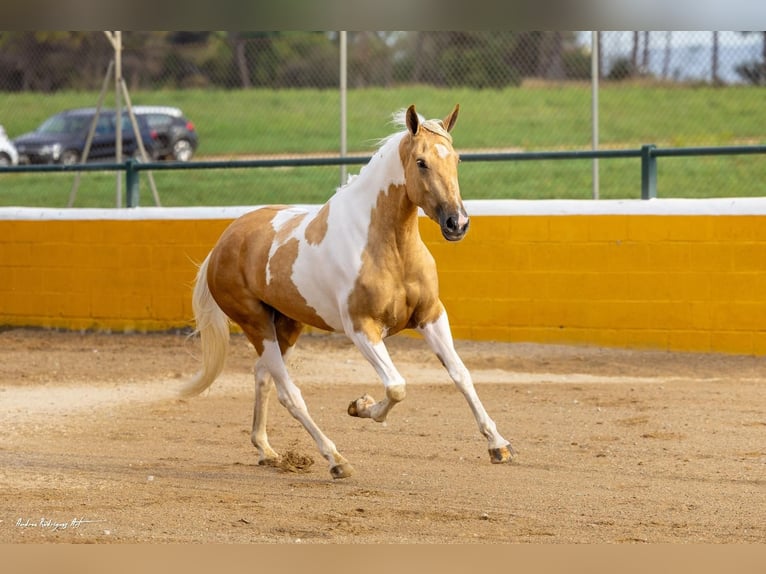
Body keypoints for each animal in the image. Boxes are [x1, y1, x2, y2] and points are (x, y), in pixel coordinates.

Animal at [180, 104, 516, 482]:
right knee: (289, 393)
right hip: (256, 324)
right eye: (421, 162)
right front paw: (361, 406)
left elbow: (461, 374)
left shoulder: (430, 316)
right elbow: (396, 386)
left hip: (287, 325)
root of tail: (222, 245)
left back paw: (267, 451)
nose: (457, 223)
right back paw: (335, 459)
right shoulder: (362, 329)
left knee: (262, 376)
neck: (387, 246)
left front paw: (498, 445)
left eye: (456, 159)